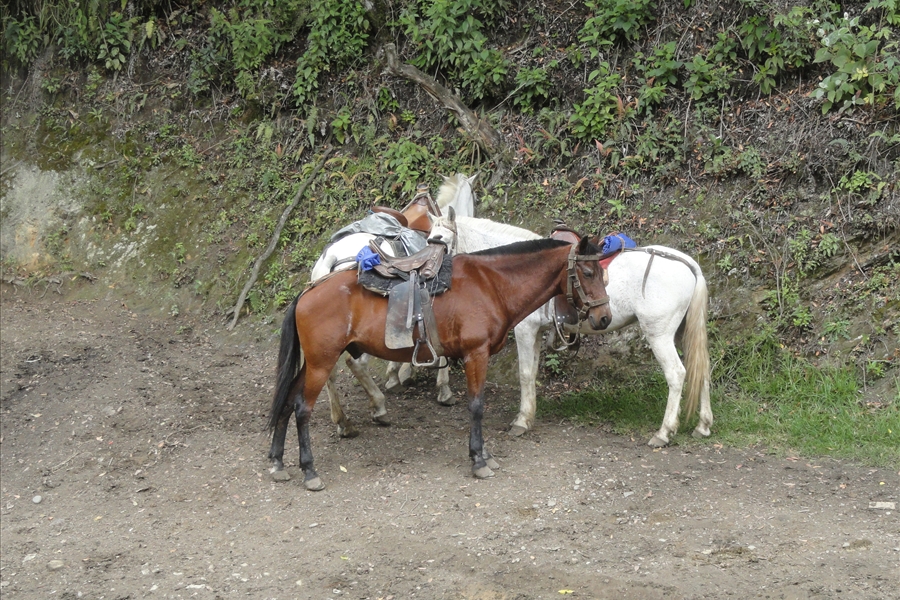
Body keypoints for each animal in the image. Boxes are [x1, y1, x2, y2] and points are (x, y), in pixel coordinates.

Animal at [268, 236, 613, 490]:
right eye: (589, 273)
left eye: (603, 274)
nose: (604, 318)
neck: (491, 284)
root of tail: (306, 293)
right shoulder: (476, 354)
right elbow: (477, 406)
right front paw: (478, 460)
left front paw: (484, 454)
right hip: (321, 362)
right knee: (302, 409)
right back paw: (310, 471)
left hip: (312, 364)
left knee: (287, 402)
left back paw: (277, 463)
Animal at [307, 173, 476, 436]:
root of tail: (333, 258)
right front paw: (443, 389)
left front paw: (397, 375)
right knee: (355, 363)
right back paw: (378, 408)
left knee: (329, 370)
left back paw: (344, 422)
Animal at [373, 212, 713, 447]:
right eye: (430, 238)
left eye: (441, 241)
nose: (427, 274)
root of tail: (688, 263)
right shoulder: (535, 332)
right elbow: (532, 372)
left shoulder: (525, 331)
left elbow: (525, 374)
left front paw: (522, 421)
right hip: (682, 333)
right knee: (703, 372)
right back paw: (703, 425)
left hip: (659, 335)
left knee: (677, 375)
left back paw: (664, 432)